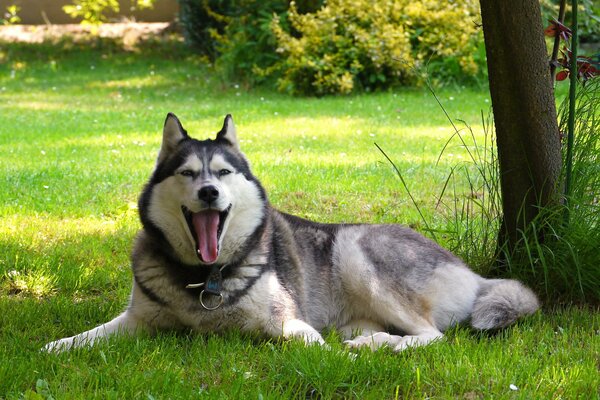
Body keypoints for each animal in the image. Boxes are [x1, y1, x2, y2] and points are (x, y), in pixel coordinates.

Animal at [42, 113, 540, 354]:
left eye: (223, 172)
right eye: (187, 173)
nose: (208, 192)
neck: (205, 278)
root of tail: (474, 274)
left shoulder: (288, 323)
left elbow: (315, 349)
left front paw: (344, 357)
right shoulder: (138, 321)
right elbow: (87, 336)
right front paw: (54, 346)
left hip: (355, 251)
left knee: (433, 336)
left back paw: (377, 345)